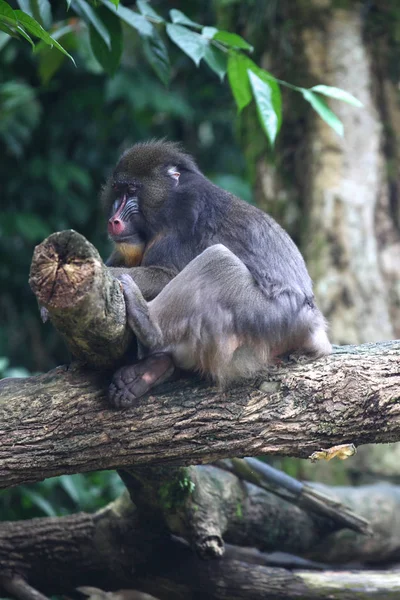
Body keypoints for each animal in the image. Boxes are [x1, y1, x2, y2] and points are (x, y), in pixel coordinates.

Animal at [104, 139, 332, 408]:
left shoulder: (179, 227)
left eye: (132, 190)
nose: (114, 220)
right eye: (118, 191)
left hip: (268, 319)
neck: (167, 202)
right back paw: (149, 372)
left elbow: (167, 276)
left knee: (218, 260)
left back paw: (149, 325)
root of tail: (313, 325)